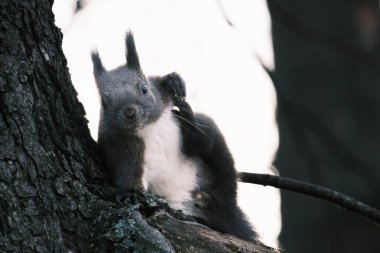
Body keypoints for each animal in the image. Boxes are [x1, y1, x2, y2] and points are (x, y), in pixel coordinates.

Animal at [90, 31, 260, 243]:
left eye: (144, 88)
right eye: (104, 103)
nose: (129, 112)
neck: (148, 127)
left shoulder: (160, 94)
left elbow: (164, 85)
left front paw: (173, 80)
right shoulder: (121, 147)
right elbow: (127, 175)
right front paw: (125, 193)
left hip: (216, 148)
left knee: (208, 148)